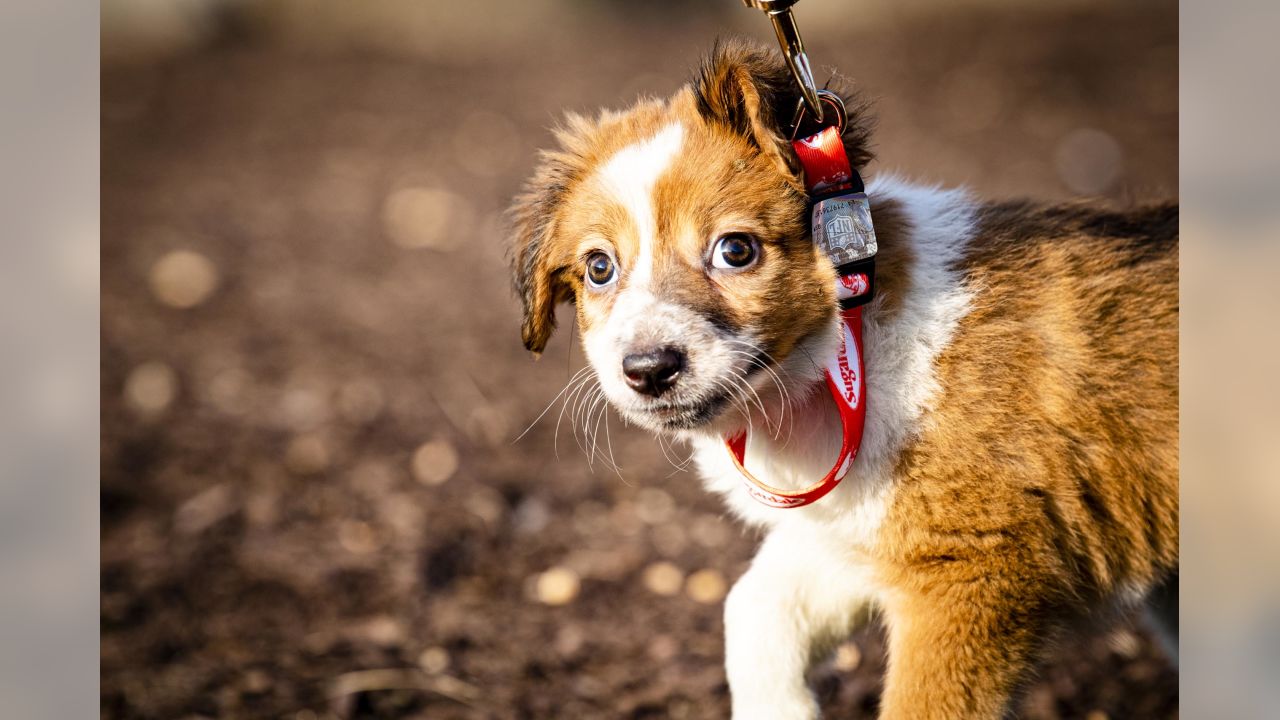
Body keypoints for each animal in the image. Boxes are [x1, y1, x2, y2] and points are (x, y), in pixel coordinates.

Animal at [506, 40, 1177, 717]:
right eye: (599, 268)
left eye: (736, 251)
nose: (647, 370)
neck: (848, 345)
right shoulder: (851, 531)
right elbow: (756, 609)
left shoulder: (969, 570)